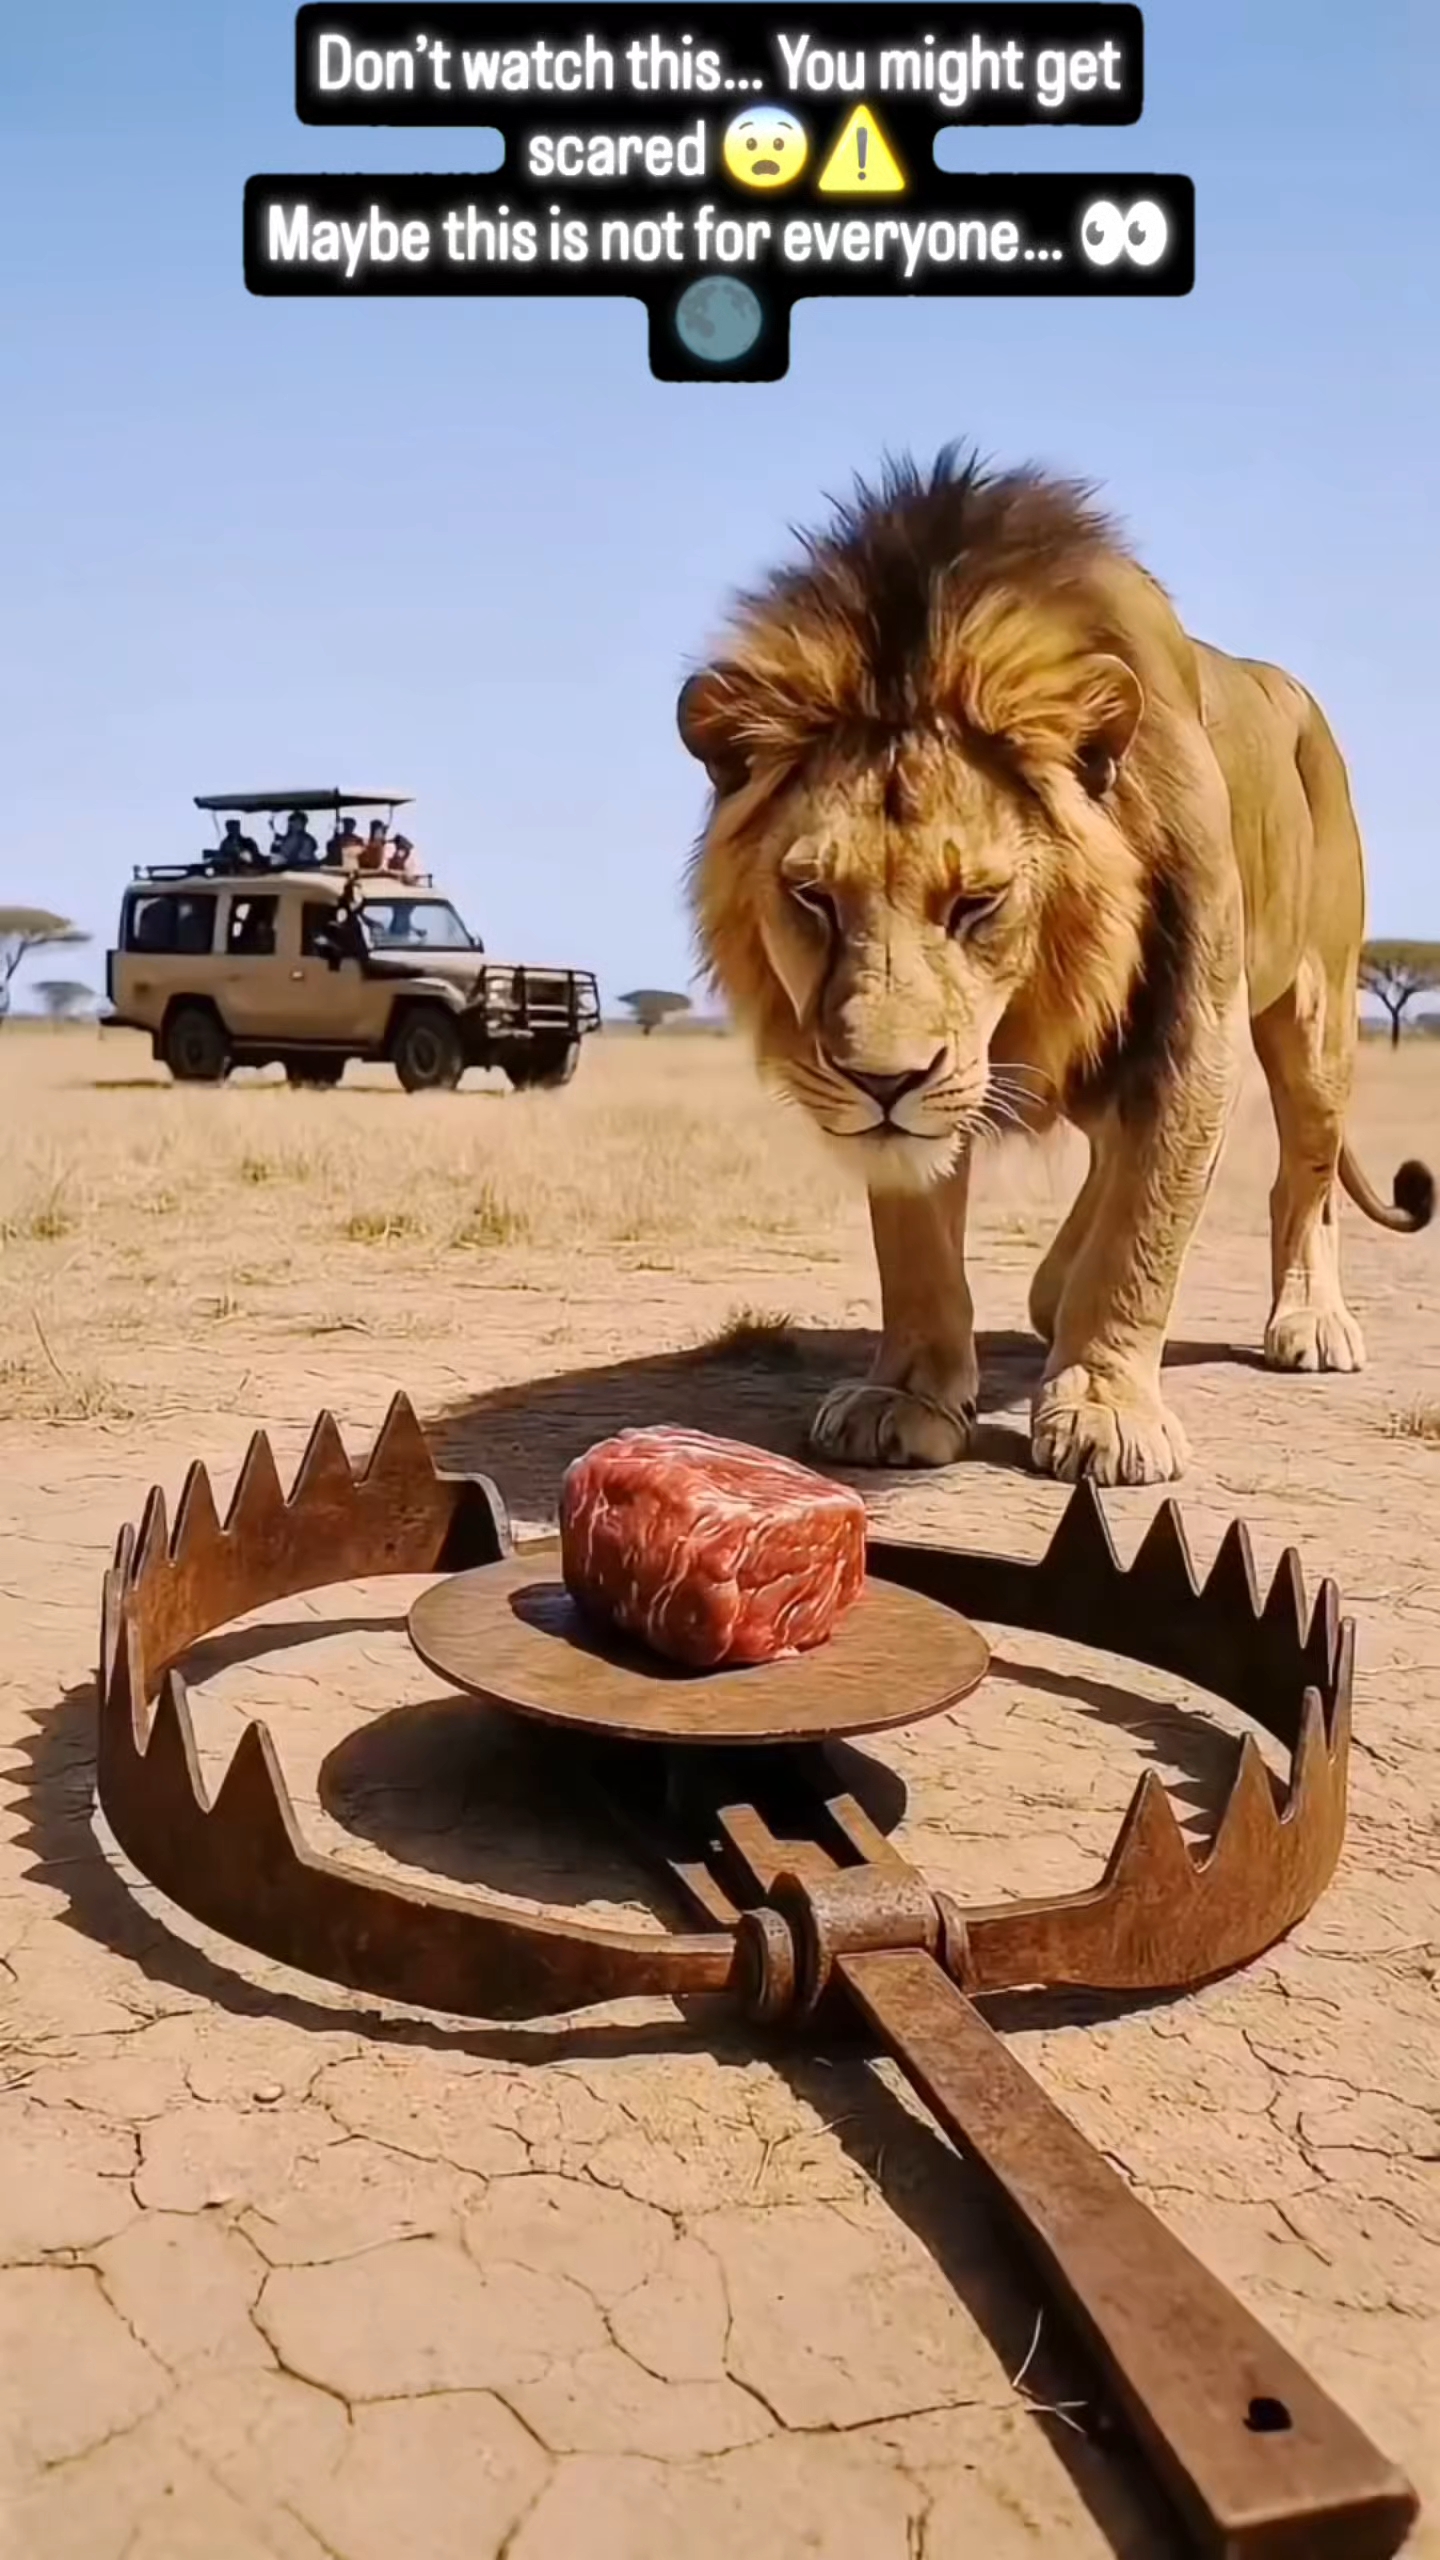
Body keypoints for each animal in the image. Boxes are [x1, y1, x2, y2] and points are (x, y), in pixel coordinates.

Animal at [678, 448, 1434, 1487]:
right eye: (815, 898)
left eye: (977, 902)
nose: (882, 1080)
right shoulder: (942, 1089)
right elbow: (916, 1242)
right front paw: (907, 1398)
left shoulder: (1191, 1029)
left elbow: (1142, 1232)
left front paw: (1107, 1410)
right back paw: (1049, 1290)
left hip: (1319, 1014)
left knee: (1301, 1178)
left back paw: (1311, 1321)